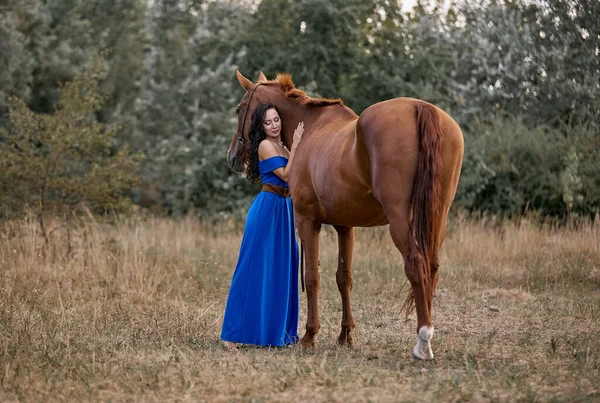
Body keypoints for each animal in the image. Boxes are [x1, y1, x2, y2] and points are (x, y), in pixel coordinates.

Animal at [226, 70, 464, 360]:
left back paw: (423, 342)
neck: (312, 128)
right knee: (432, 266)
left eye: (239, 109)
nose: (232, 157)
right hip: (437, 217)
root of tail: (421, 107)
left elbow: (312, 277)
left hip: (400, 220)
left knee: (416, 264)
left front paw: (309, 336)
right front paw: (345, 335)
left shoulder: (307, 221)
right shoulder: (345, 226)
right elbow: (344, 278)